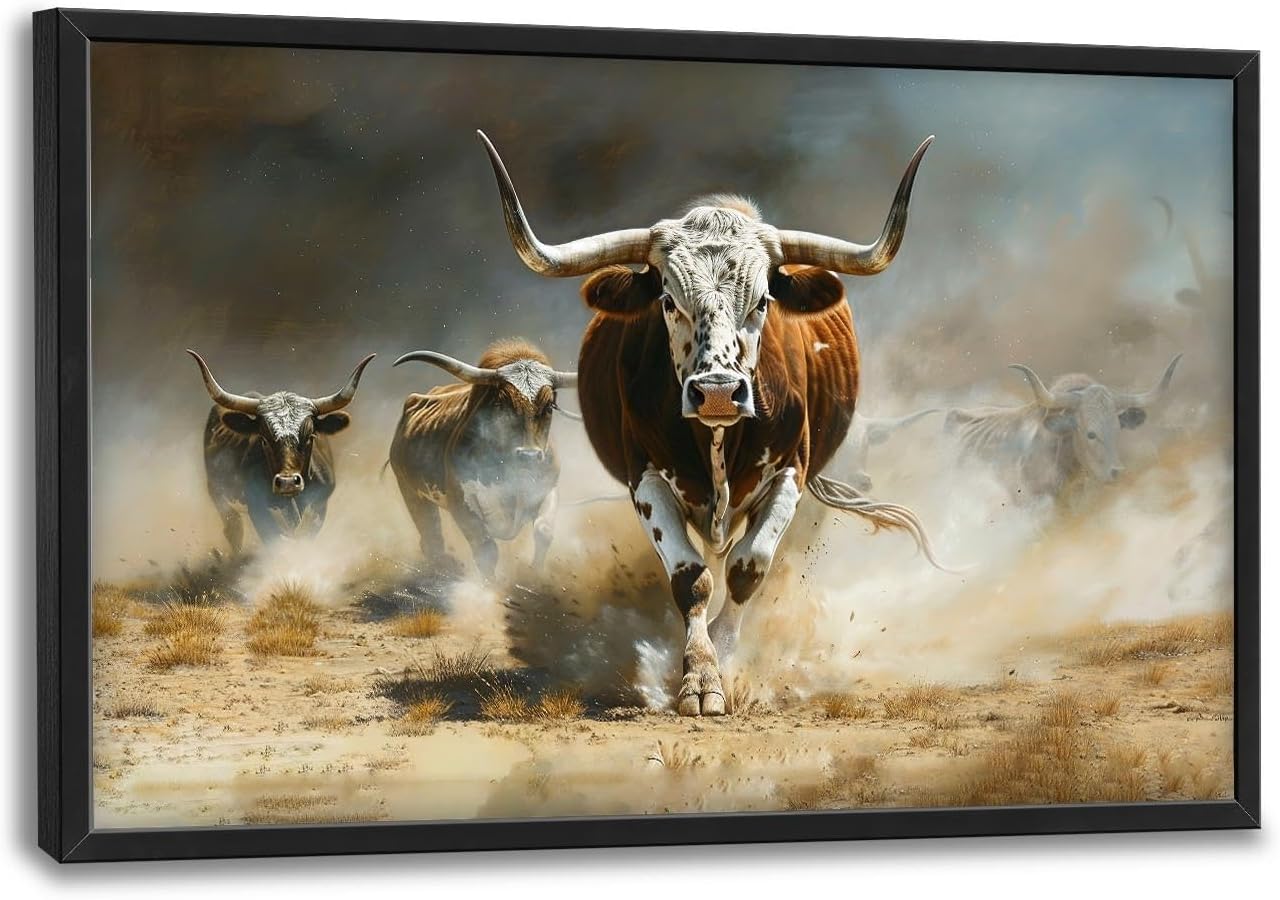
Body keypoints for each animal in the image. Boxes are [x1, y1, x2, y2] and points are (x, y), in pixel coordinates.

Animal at [187, 349, 375, 553]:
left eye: (310, 436)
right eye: (263, 439)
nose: (287, 483)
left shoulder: (319, 505)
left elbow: (304, 535)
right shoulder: (258, 508)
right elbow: (275, 538)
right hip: (217, 492)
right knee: (233, 527)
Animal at [389, 339, 576, 577]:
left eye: (549, 406)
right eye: (500, 404)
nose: (529, 456)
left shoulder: (548, 488)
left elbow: (543, 530)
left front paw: (535, 575)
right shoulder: (460, 502)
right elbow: (486, 550)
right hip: (411, 492)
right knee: (432, 539)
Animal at [477, 130, 944, 716]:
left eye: (763, 299)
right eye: (668, 299)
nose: (718, 391)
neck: (717, 439)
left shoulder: (789, 473)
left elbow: (748, 568)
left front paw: (724, 660)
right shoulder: (645, 477)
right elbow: (692, 579)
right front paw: (700, 677)